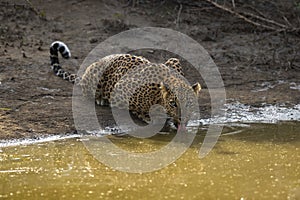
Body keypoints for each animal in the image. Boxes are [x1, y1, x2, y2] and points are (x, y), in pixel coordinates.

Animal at [49, 41, 202, 130]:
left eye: (189, 103)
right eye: (173, 103)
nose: (182, 118)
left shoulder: (173, 61)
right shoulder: (120, 90)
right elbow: (140, 109)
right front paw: (151, 116)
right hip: (95, 79)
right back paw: (101, 99)